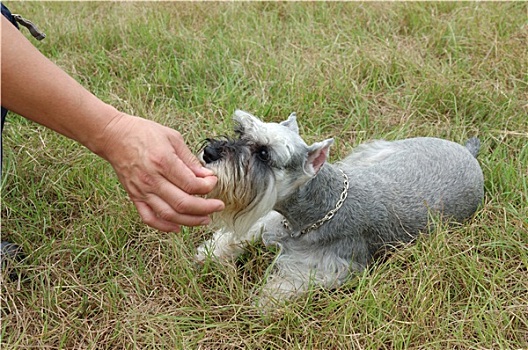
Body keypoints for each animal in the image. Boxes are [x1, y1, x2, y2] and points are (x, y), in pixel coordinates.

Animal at [194, 110, 482, 306]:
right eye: (241, 132)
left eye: (264, 153)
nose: (209, 152)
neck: (321, 207)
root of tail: (467, 151)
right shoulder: (269, 220)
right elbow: (238, 236)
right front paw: (211, 253)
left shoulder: (330, 268)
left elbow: (284, 287)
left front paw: (261, 304)